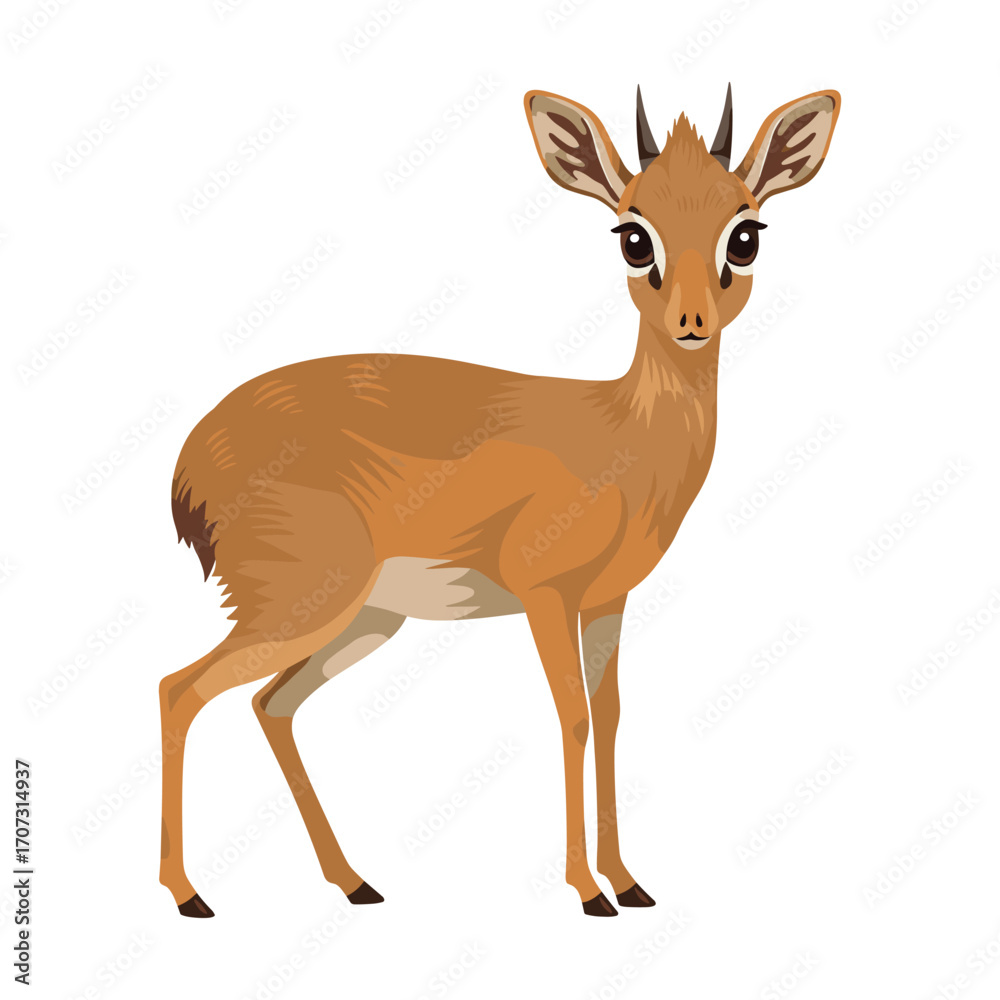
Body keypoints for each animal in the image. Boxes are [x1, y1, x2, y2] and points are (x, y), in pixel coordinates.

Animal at [161, 84, 840, 918]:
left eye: (744, 233)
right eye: (633, 235)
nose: (691, 323)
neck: (627, 436)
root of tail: (191, 461)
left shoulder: (606, 598)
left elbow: (610, 715)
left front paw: (629, 880)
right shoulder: (545, 590)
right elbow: (572, 716)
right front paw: (587, 891)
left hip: (362, 619)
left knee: (269, 704)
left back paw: (355, 883)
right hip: (297, 602)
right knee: (180, 690)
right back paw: (189, 895)